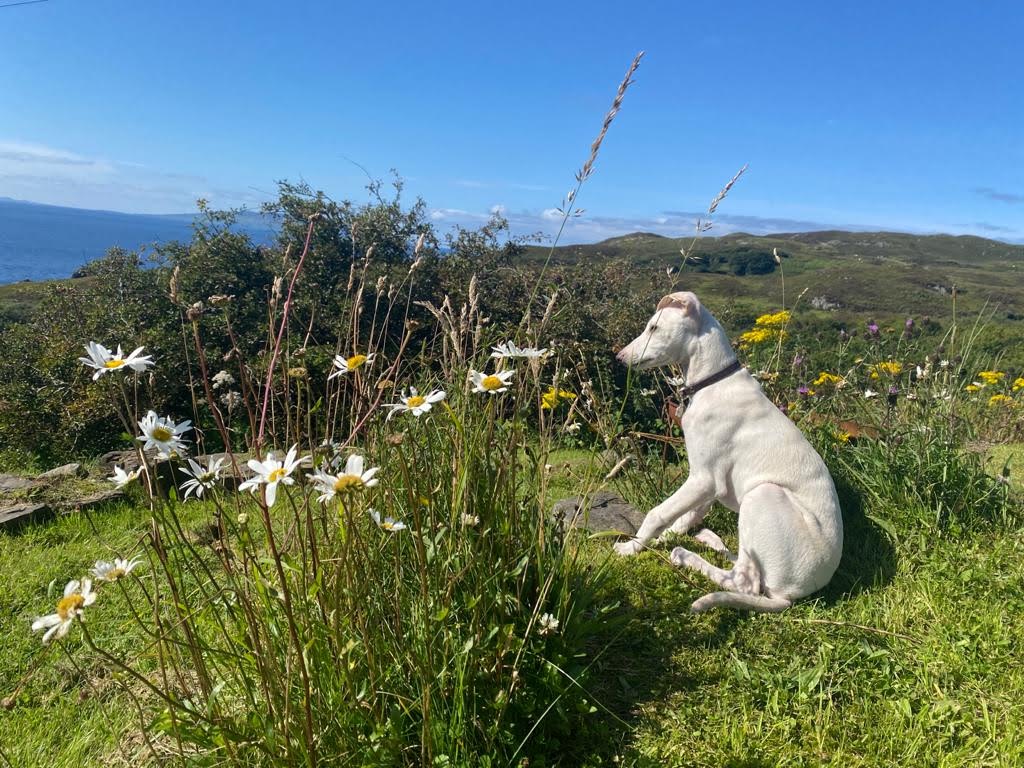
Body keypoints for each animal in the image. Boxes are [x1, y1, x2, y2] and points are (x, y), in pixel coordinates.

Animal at [614, 290, 839, 618]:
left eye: (653, 328)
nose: (619, 358)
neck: (714, 382)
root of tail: (789, 596)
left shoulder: (704, 478)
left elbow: (659, 512)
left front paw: (632, 546)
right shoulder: (708, 482)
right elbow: (685, 514)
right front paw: (666, 536)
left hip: (763, 495)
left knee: (744, 583)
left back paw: (685, 556)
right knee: (742, 563)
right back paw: (708, 541)